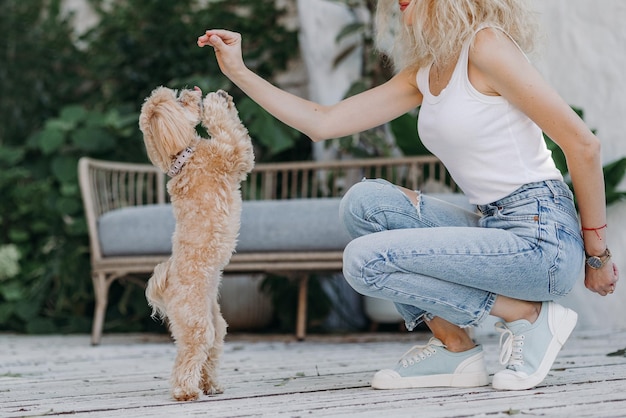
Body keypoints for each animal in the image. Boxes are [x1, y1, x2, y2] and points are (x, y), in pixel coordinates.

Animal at [139, 85, 254, 402]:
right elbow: (229, 130)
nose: (195, 89)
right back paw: (186, 391)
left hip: (217, 325)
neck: (183, 157)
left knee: (208, 355)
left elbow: (234, 126)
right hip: (197, 325)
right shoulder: (234, 153)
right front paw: (215, 102)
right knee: (188, 357)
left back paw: (210, 385)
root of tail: (166, 286)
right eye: (180, 100)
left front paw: (225, 100)